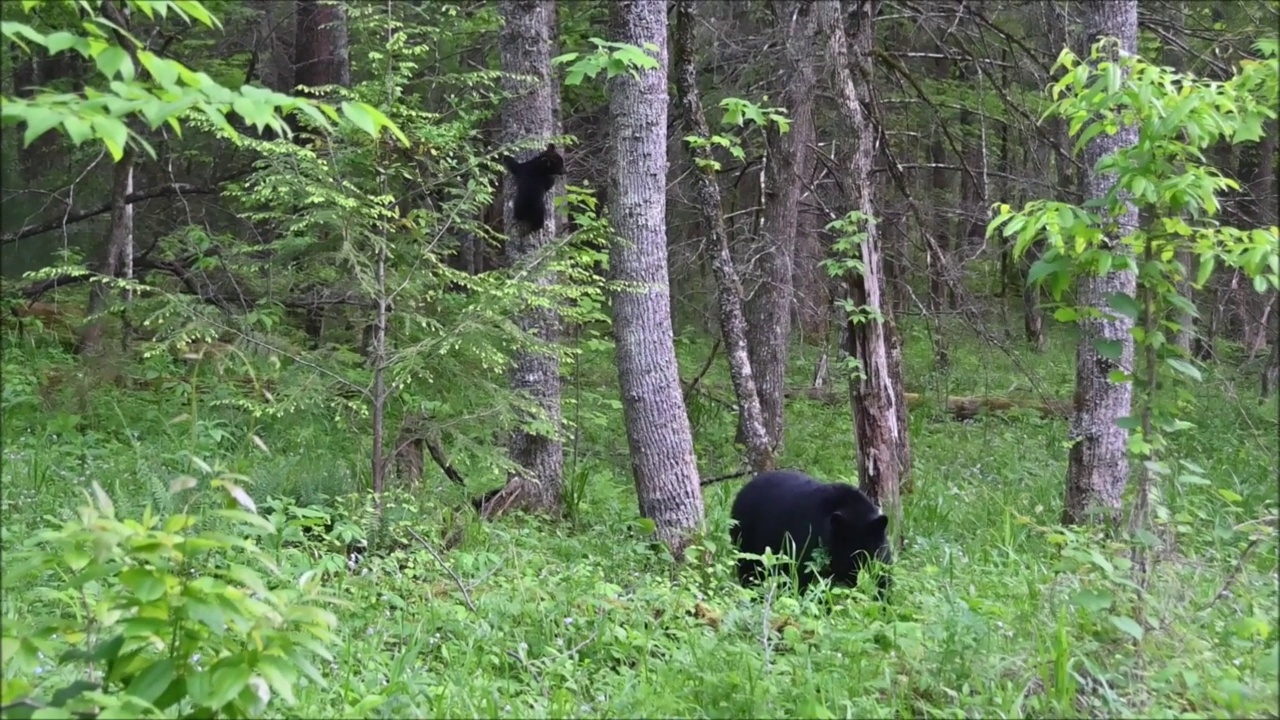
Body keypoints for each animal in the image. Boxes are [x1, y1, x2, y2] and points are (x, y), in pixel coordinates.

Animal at [727, 466, 896, 594]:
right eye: (849, 551)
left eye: (868, 553)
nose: (857, 577)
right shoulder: (807, 542)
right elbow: (802, 576)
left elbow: (883, 576)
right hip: (746, 541)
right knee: (749, 569)